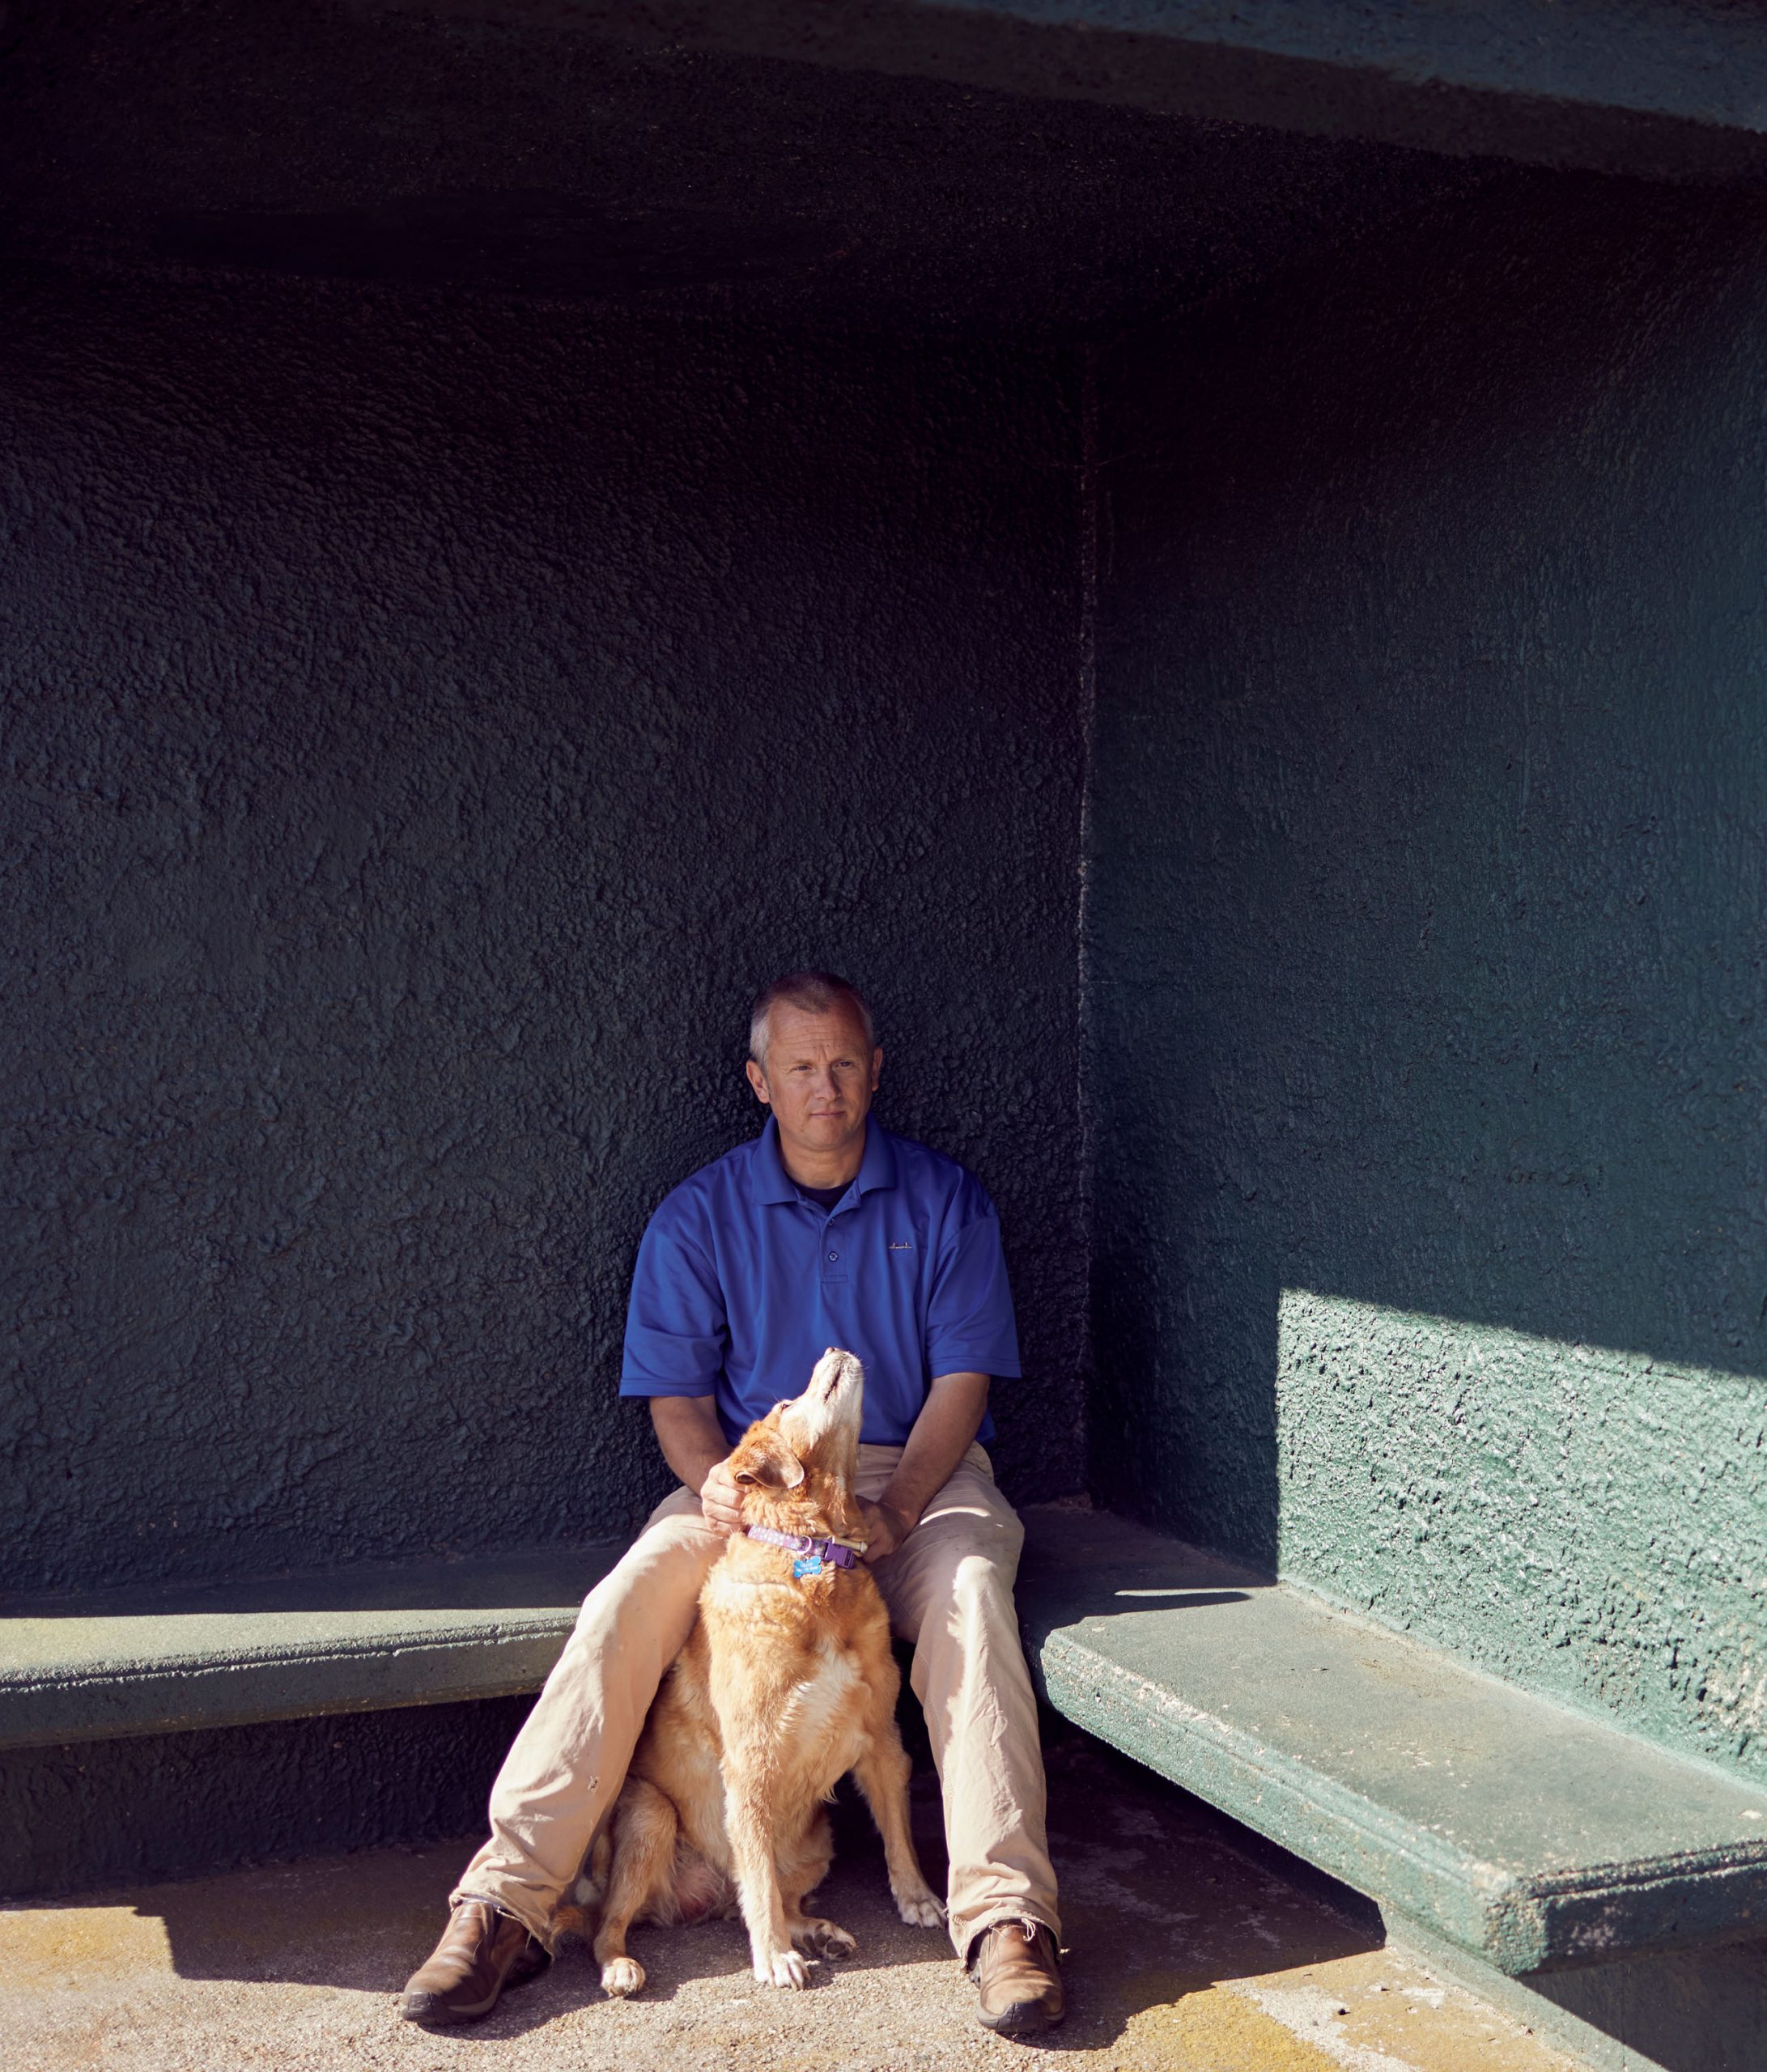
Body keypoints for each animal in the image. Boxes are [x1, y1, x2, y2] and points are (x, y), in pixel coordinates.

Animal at [576, 1342, 936, 1989]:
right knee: (614, 1923)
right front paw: (772, 1957)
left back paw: (817, 1931)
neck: (815, 1560)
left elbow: (898, 1831)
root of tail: (704, 1897)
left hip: (817, 1840)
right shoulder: (751, 1762)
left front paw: (916, 1896)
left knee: (764, 1894)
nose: (835, 1346)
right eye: (787, 1404)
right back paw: (620, 1965)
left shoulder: (881, 1736)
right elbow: (761, 1881)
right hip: (650, 1818)